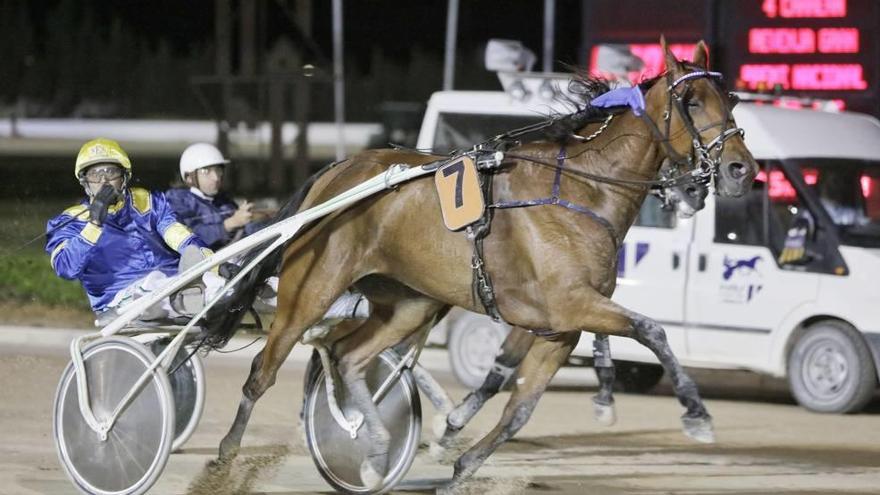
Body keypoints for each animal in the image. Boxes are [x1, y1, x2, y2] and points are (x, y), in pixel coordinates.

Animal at [213, 40, 756, 494]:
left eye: (729, 98)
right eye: (691, 102)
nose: (741, 169)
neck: (583, 191)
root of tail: (337, 170)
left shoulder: (560, 328)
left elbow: (519, 408)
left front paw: (460, 463)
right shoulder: (573, 304)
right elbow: (652, 330)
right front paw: (695, 412)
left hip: (409, 303)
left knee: (348, 357)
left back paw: (376, 452)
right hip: (311, 289)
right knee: (263, 373)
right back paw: (225, 460)